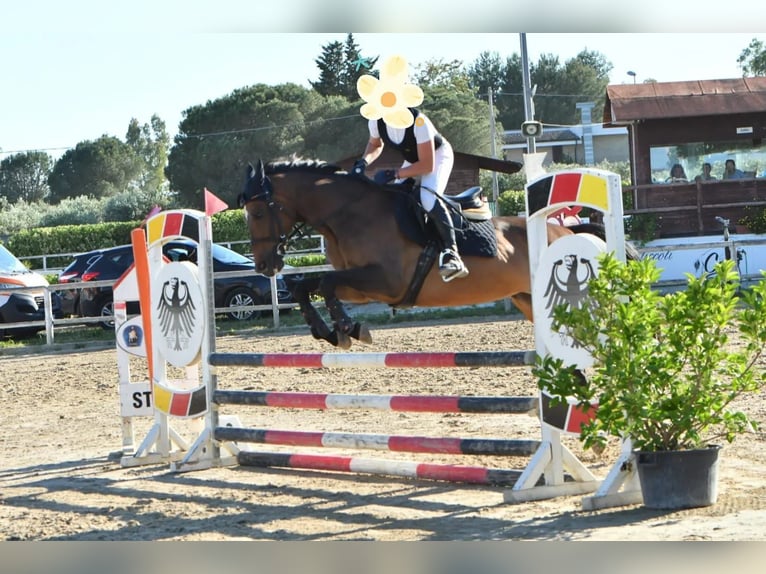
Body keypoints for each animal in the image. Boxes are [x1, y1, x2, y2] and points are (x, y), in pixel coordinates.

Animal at [243, 156, 620, 352]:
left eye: (258, 212)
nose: (264, 265)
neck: (348, 213)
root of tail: (564, 230)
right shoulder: (362, 288)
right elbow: (308, 285)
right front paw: (328, 331)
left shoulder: (387, 281)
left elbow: (325, 281)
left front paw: (349, 329)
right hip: (526, 298)